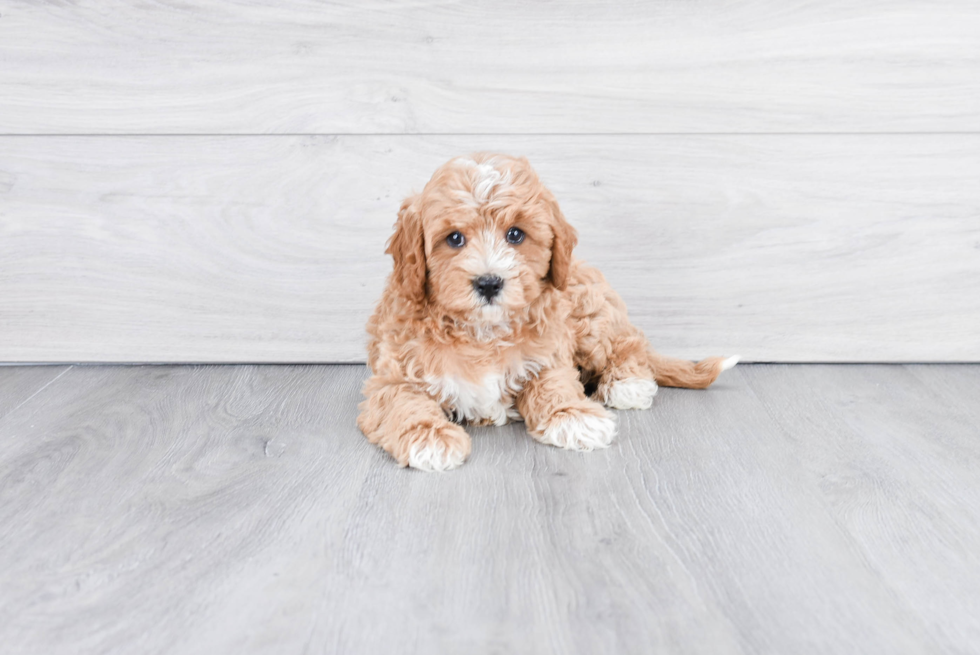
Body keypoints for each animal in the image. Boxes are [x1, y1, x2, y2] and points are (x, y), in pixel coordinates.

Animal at [358, 154, 736, 472]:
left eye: (515, 234)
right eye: (453, 239)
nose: (489, 282)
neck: (482, 332)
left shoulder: (548, 354)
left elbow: (555, 385)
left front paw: (573, 416)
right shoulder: (393, 377)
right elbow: (402, 402)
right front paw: (428, 436)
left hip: (589, 315)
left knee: (629, 343)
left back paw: (628, 384)